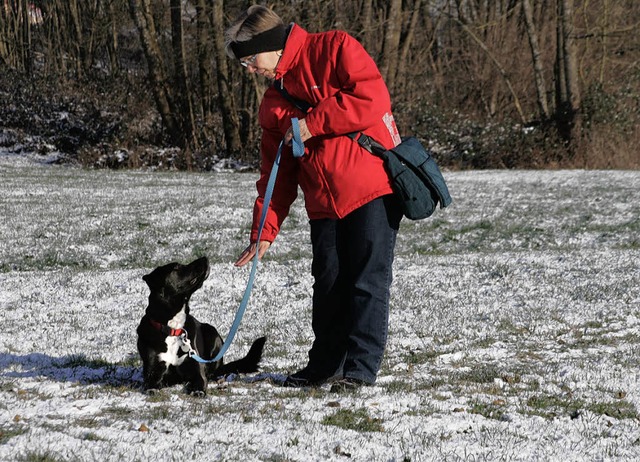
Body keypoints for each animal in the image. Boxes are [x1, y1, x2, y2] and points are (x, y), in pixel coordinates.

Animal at [136, 254, 266, 396]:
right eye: (176, 267)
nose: (205, 257)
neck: (173, 329)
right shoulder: (153, 370)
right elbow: (150, 384)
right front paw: (152, 389)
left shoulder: (197, 368)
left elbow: (201, 380)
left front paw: (197, 391)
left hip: (212, 333)